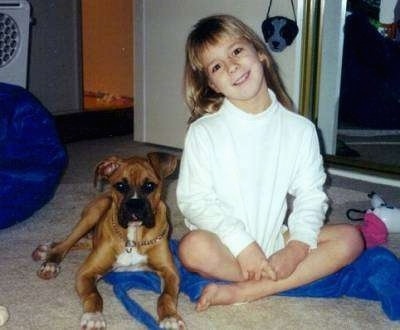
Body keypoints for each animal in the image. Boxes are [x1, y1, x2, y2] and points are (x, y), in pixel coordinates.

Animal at [31, 153, 184, 330]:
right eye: (120, 186)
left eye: (149, 186)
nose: (134, 206)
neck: (133, 237)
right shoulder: (86, 272)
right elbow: (94, 295)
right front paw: (93, 316)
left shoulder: (170, 272)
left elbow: (166, 296)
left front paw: (170, 317)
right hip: (93, 213)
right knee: (67, 243)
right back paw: (49, 261)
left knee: (86, 241)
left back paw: (45, 249)